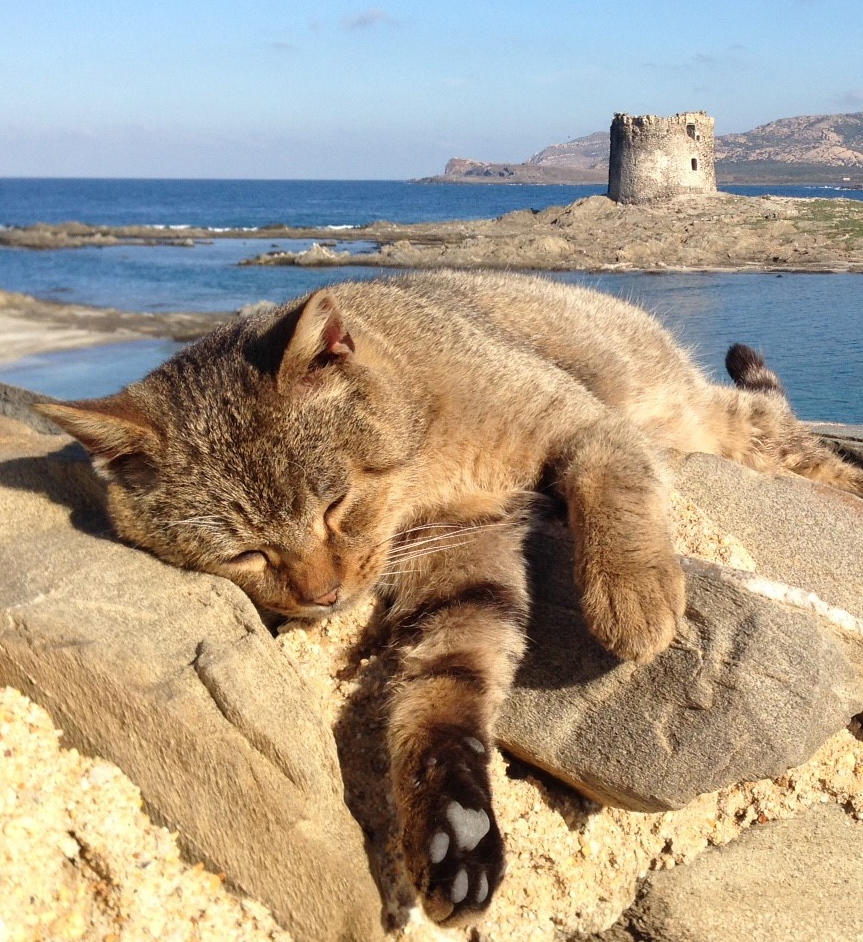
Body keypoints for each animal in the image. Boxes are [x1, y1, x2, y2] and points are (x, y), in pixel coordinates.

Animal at [38, 270, 863, 924]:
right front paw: (455, 830)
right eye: (244, 553)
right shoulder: (464, 563)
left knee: (792, 443)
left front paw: (630, 589)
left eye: (334, 504)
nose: (322, 596)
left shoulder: (583, 425)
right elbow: (443, 695)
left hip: (705, 418)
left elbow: (615, 485)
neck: (426, 466)